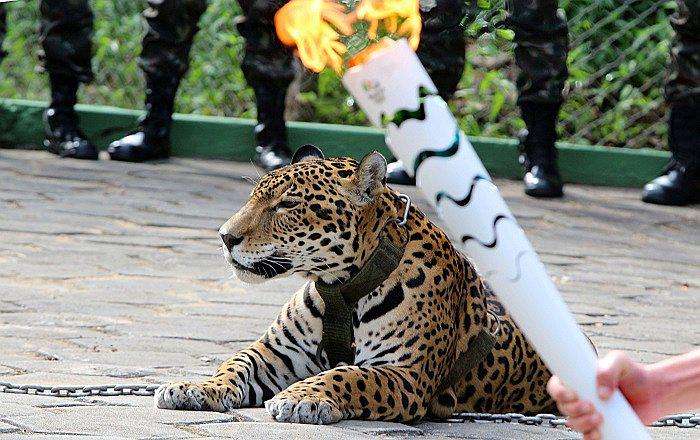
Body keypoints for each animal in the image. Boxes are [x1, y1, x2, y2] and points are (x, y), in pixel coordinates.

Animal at [155, 145, 556, 424]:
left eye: (288, 205)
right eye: (254, 197)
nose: (225, 237)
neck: (341, 288)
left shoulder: (407, 375)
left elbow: (348, 375)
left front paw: (301, 397)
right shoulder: (277, 353)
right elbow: (234, 363)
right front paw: (197, 387)